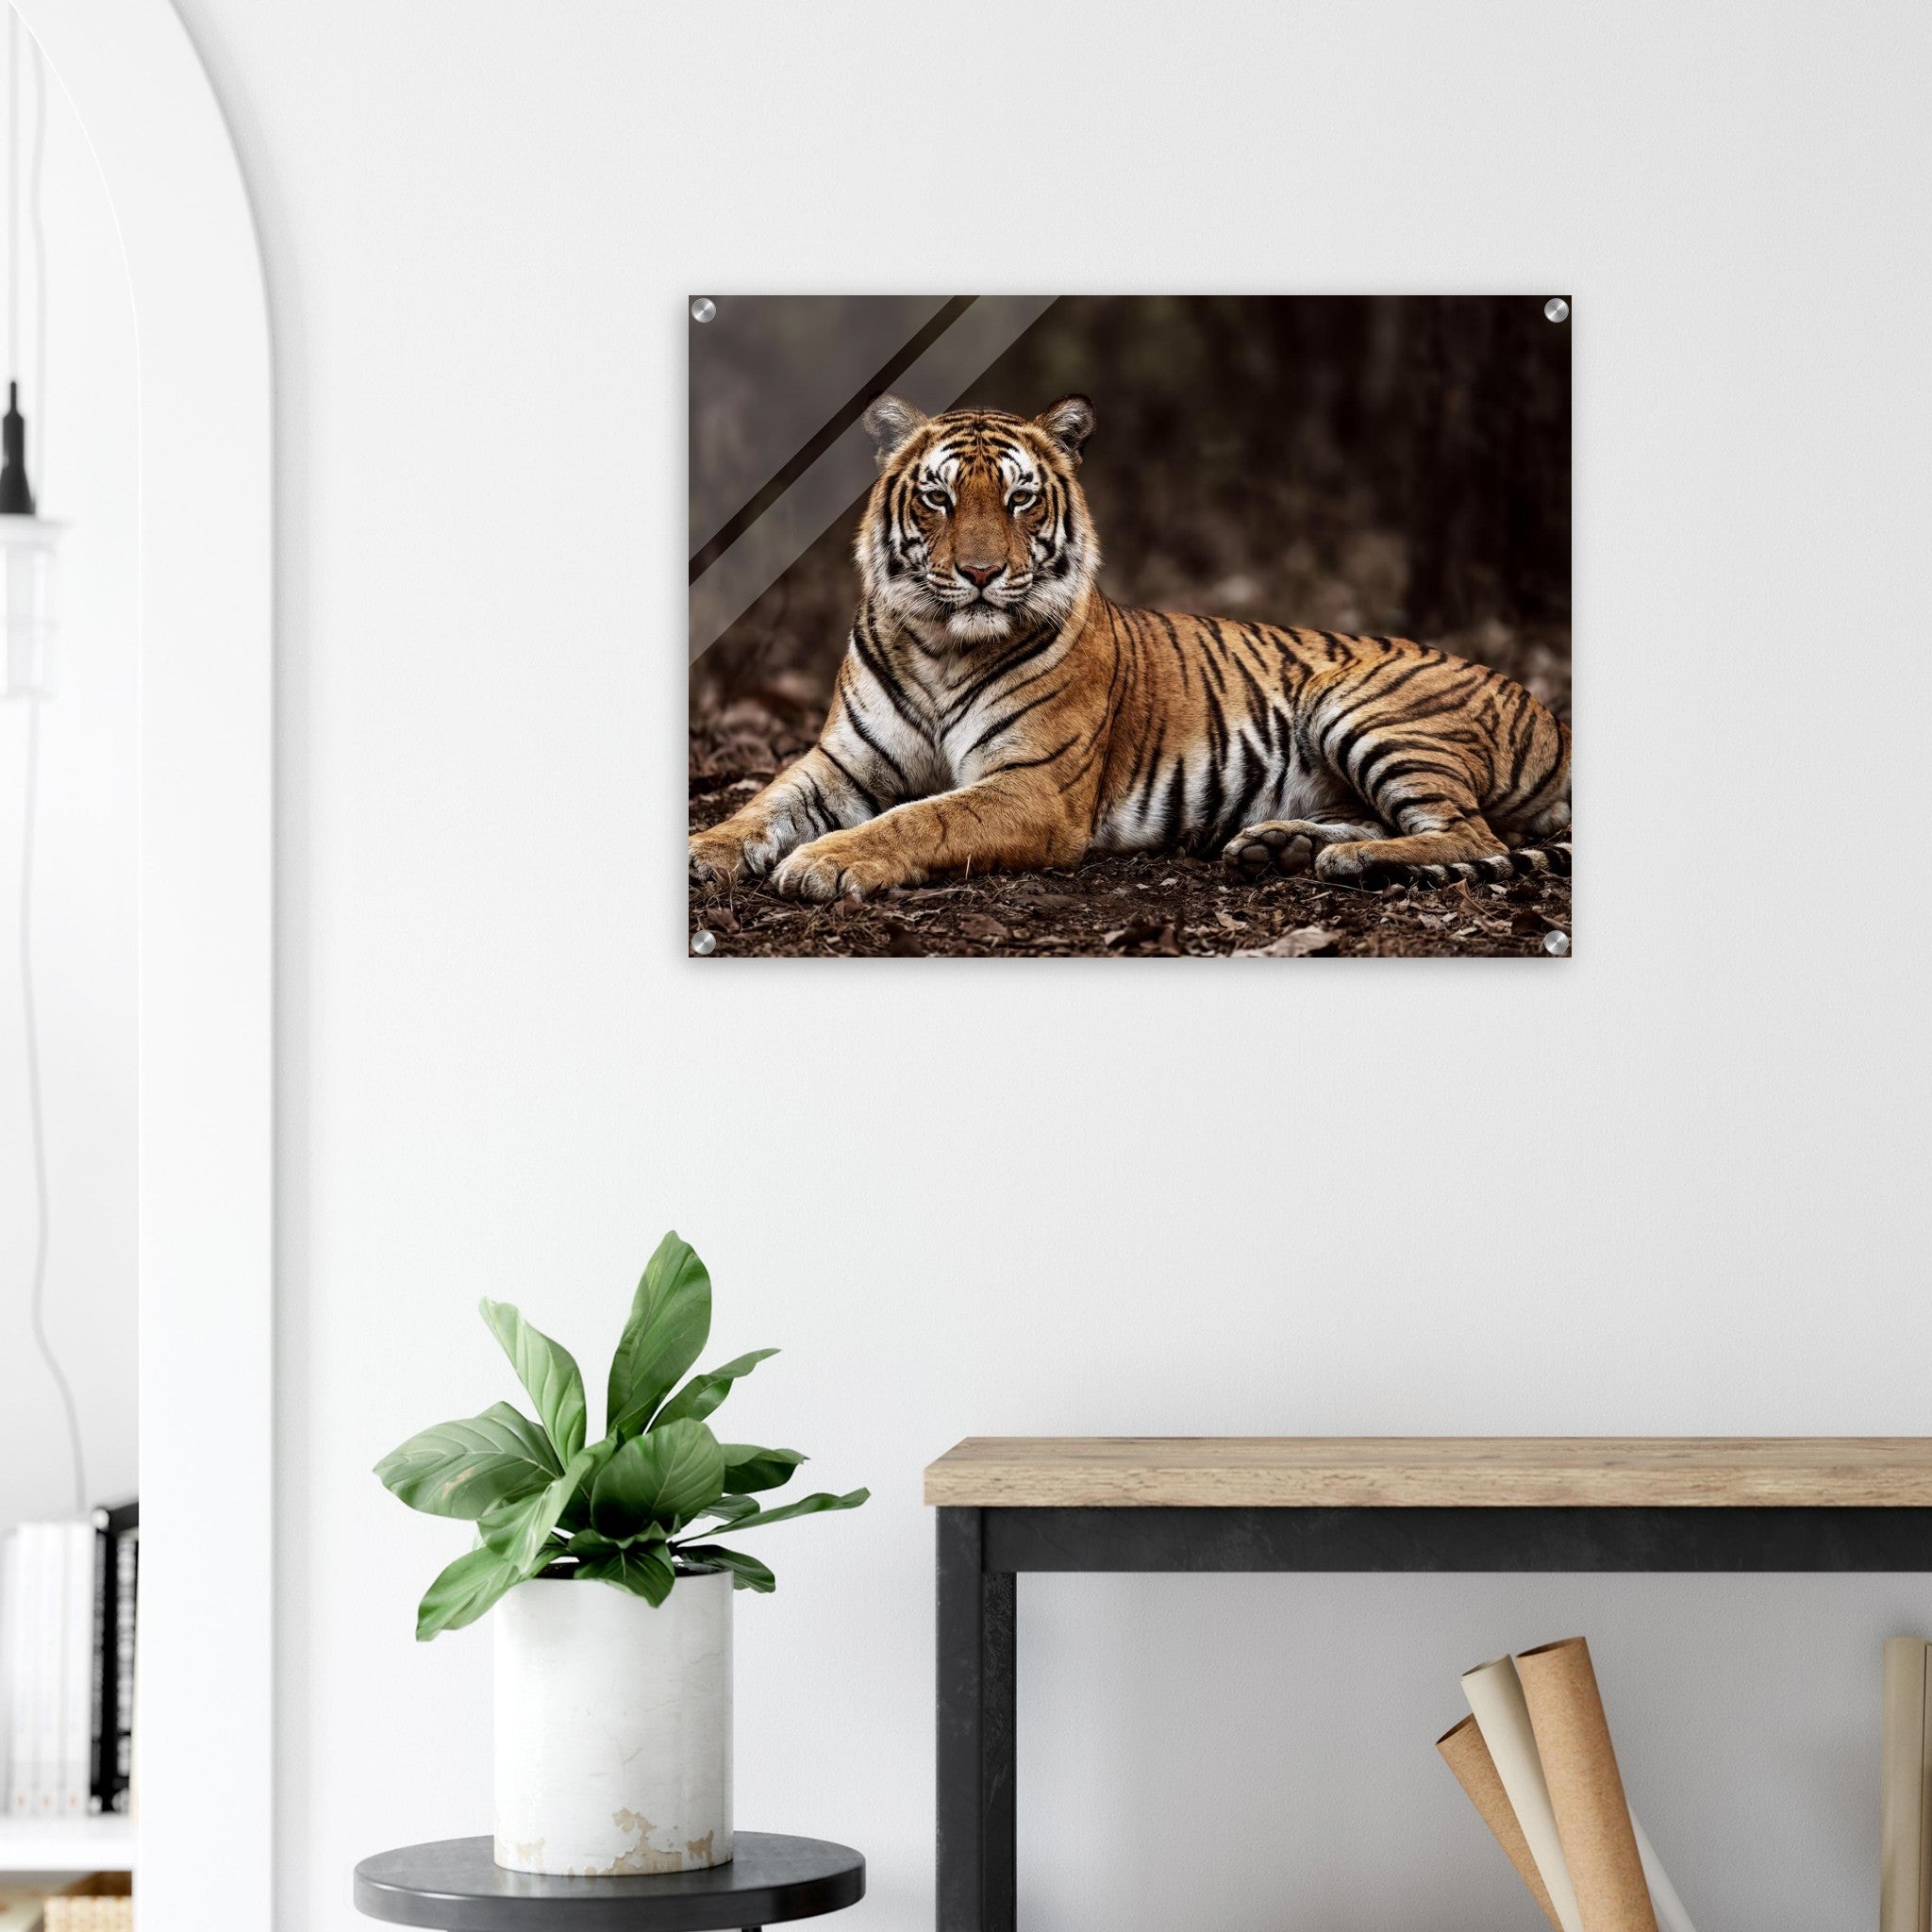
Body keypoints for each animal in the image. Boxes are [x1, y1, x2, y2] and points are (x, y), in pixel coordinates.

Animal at [687, 392, 1571, 903]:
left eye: (1021, 499)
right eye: (938, 498)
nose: (980, 573)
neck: (940, 647)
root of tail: (1550, 712)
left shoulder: (1030, 788)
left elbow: (920, 820)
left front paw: (826, 861)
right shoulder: (840, 762)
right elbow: (761, 803)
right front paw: (704, 852)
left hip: (1360, 703)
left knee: (1476, 838)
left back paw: (1344, 864)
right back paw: (1280, 846)